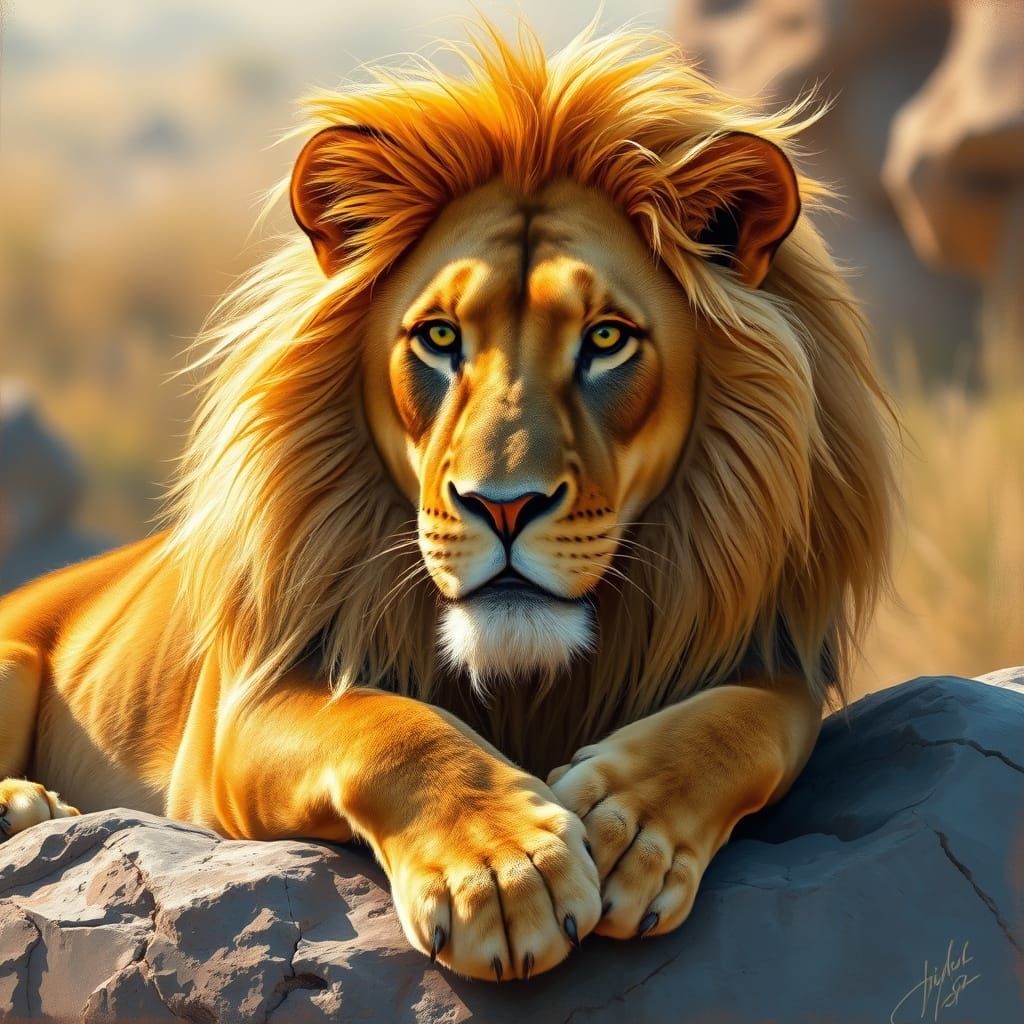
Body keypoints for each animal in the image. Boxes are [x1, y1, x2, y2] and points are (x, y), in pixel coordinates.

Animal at [0, 22, 893, 981]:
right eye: (438, 337)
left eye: (606, 339)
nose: (503, 507)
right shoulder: (238, 715)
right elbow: (386, 724)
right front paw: (502, 873)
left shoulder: (780, 657)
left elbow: (744, 721)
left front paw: (626, 828)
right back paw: (26, 805)